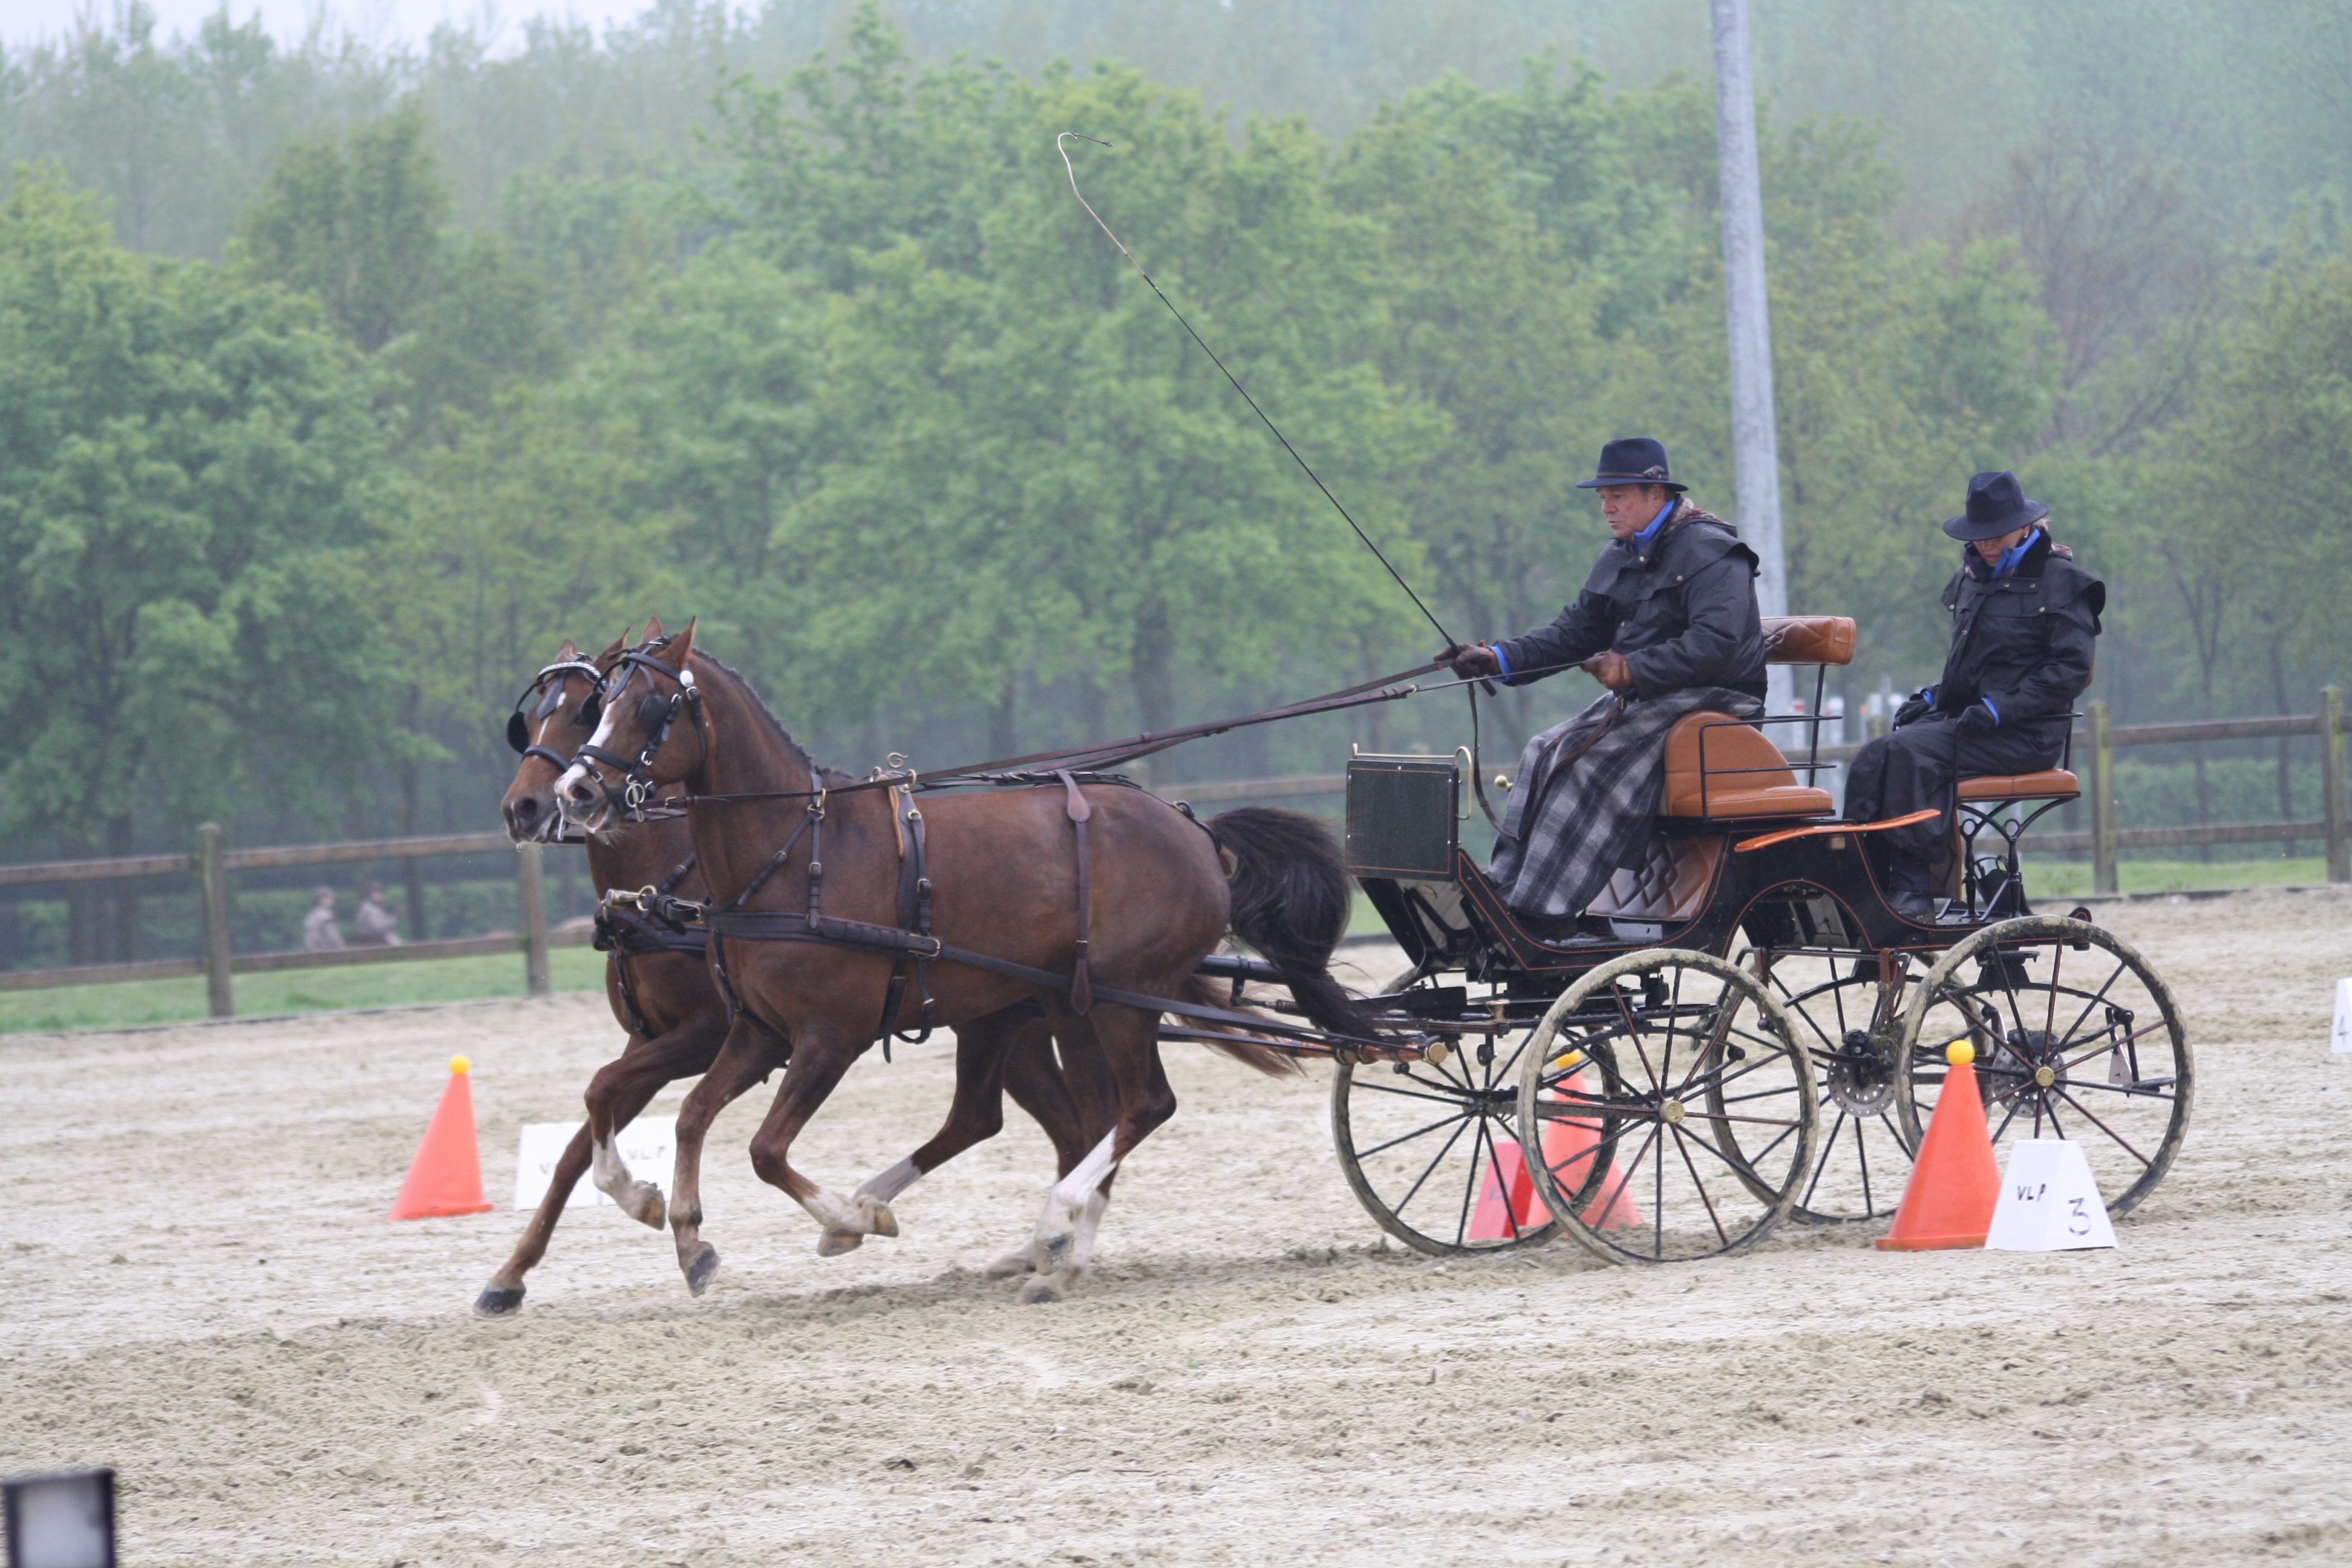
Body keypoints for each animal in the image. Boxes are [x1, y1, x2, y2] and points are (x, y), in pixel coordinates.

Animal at [552, 623, 1359, 1301]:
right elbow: (687, 1116)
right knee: (1062, 1118)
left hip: (1124, 997)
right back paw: (1054, 1255)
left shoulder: (829, 1038)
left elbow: (764, 1149)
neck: (797, 853)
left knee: (1142, 1107)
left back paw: (1051, 1226)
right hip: (1061, 1006)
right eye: (601, 703)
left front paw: (847, 1220)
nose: (572, 791)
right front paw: (680, 1229)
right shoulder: (757, 1030)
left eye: (650, 707)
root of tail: (1198, 832)